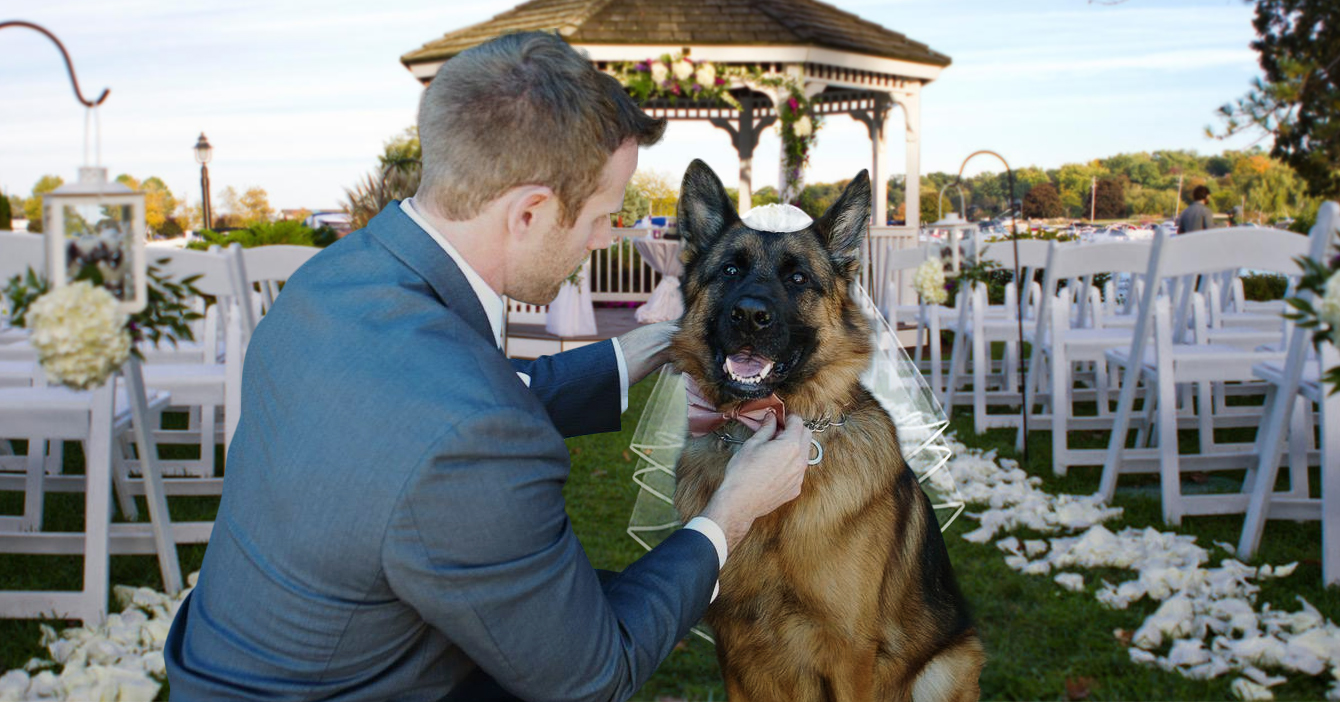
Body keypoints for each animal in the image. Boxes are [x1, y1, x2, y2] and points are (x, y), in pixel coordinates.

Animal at [670, 162, 986, 696]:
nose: (749, 316)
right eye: (730, 270)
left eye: (798, 278)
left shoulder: (850, 655)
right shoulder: (731, 651)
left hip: (949, 664)